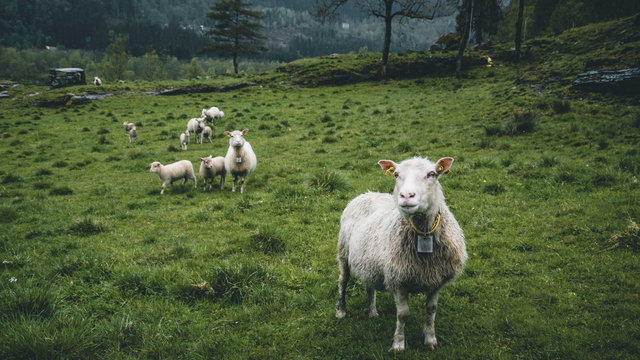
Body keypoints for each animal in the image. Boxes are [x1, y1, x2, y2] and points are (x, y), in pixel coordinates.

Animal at [338, 156, 468, 350]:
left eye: (432, 174)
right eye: (396, 174)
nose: (407, 196)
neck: (423, 233)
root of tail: (368, 193)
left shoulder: (437, 280)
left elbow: (431, 310)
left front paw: (430, 340)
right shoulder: (397, 279)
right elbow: (403, 314)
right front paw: (398, 343)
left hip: (369, 260)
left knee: (370, 284)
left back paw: (371, 311)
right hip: (343, 252)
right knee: (343, 281)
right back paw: (340, 311)